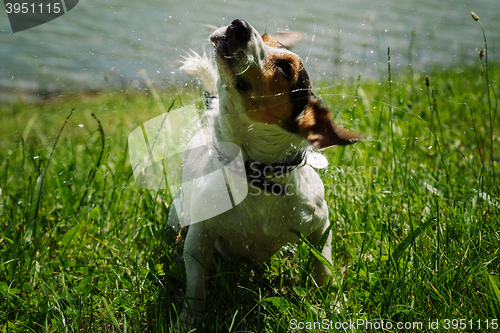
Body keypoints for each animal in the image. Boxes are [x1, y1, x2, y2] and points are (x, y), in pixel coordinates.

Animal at [171, 17, 360, 324]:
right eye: (266, 37)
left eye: (285, 68)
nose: (239, 24)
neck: (258, 177)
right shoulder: (200, 236)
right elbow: (196, 283)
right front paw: (190, 319)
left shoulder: (321, 223)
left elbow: (325, 266)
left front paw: (333, 304)